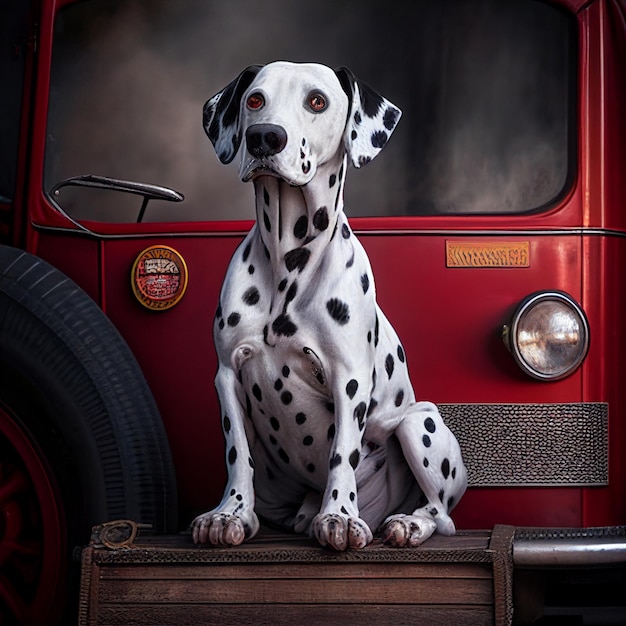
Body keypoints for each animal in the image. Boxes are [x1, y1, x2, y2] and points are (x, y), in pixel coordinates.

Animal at [193, 61, 466, 548]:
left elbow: (343, 453)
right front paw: (230, 513)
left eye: (317, 101)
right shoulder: (227, 375)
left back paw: (408, 522)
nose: (264, 137)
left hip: (420, 424)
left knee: (440, 513)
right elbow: (236, 451)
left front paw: (338, 514)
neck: (288, 262)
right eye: (255, 99)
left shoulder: (349, 381)